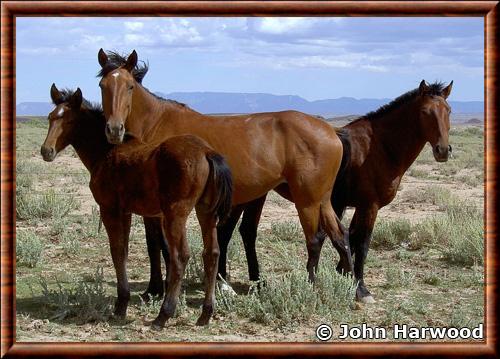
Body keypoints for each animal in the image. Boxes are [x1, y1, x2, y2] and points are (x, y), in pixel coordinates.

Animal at [40, 86, 232, 328]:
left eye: (70, 120)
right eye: (50, 117)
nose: (46, 151)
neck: (106, 152)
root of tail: (207, 152)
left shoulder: (109, 209)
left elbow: (116, 251)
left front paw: (121, 306)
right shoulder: (127, 212)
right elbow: (123, 251)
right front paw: (123, 303)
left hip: (176, 214)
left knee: (180, 256)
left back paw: (163, 315)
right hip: (205, 211)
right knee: (212, 253)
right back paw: (205, 315)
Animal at [97, 49, 354, 292]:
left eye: (130, 86)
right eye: (103, 86)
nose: (114, 129)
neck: (158, 126)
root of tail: (331, 131)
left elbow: (159, 246)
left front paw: (157, 289)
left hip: (306, 200)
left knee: (314, 239)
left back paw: (311, 285)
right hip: (321, 199)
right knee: (340, 235)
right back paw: (356, 287)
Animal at [217, 79, 456, 304]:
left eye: (449, 110)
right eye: (425, 112)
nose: (443, 150)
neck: (379, 147)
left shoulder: (356, 206)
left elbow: (349, 237)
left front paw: (343, 272)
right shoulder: (370, 206)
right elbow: (362, 243)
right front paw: (360, 286)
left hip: (258, 195)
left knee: (246, 231)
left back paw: (254, 282)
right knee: (227, 231)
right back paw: (225, 283)